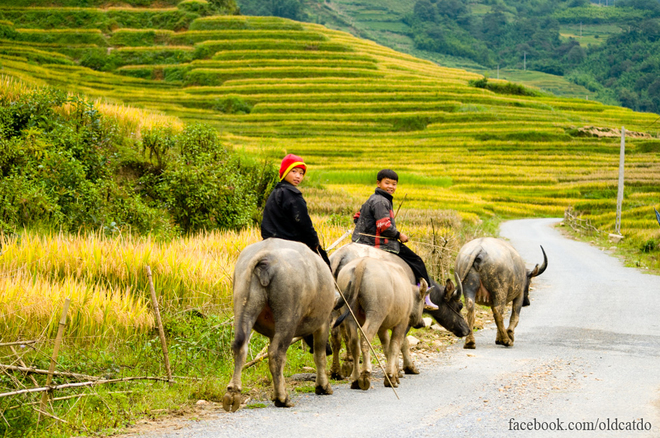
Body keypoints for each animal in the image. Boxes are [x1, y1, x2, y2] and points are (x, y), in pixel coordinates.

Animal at [223, 236, 336, 410]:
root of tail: (266, 254)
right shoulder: (323, 322)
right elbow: (319, 355)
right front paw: (323, 386)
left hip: (243, 306)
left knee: (241, 347)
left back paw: (233, 393)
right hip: (288, 317)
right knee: (277, 353)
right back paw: (282, 399)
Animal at [336, 256, 428, 390]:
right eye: (422, 302)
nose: (422, 323)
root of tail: (362, 263)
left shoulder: (382, 328)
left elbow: (386, 348)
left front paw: (394, 374)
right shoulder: (402, 323)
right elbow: (394, 346)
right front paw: (391, 377)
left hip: (349, 314)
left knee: (353, 341)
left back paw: (355, 379)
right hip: (375, 314)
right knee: (365, 337)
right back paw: (365, 374)